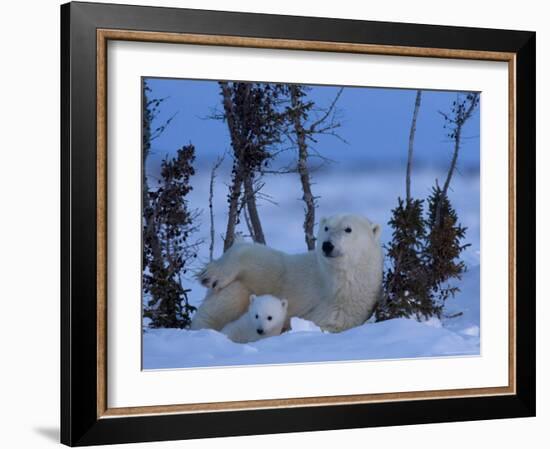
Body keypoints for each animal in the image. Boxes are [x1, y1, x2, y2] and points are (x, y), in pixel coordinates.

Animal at [192, 214, 382, 332]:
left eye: (348, 229)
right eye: (326, 228)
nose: (327, 245)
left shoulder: (343, 308)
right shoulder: (298, 274)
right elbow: (266, 262)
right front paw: (211, 275)